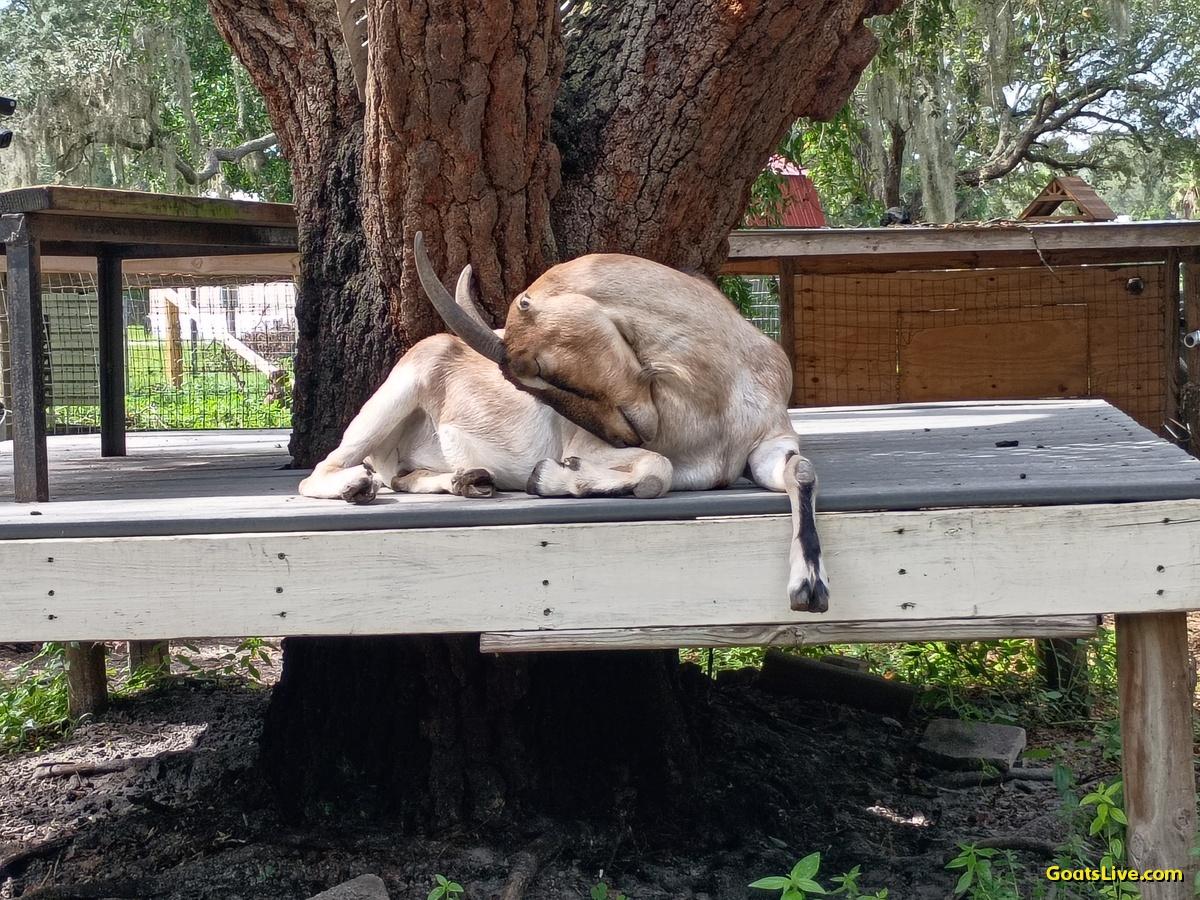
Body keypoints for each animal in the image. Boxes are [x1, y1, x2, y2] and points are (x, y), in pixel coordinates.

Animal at [298, 234, 829, 611]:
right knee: (321, 472)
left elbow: (801, 471)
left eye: (541, 368)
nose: (623, 434)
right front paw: (550, 476)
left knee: (406, 477)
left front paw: (810, 586)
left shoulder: (768, 443)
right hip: (391, 400)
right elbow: (656, 470)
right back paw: (357, 486)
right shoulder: (595, 446)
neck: (719, 388)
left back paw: (470, 479)